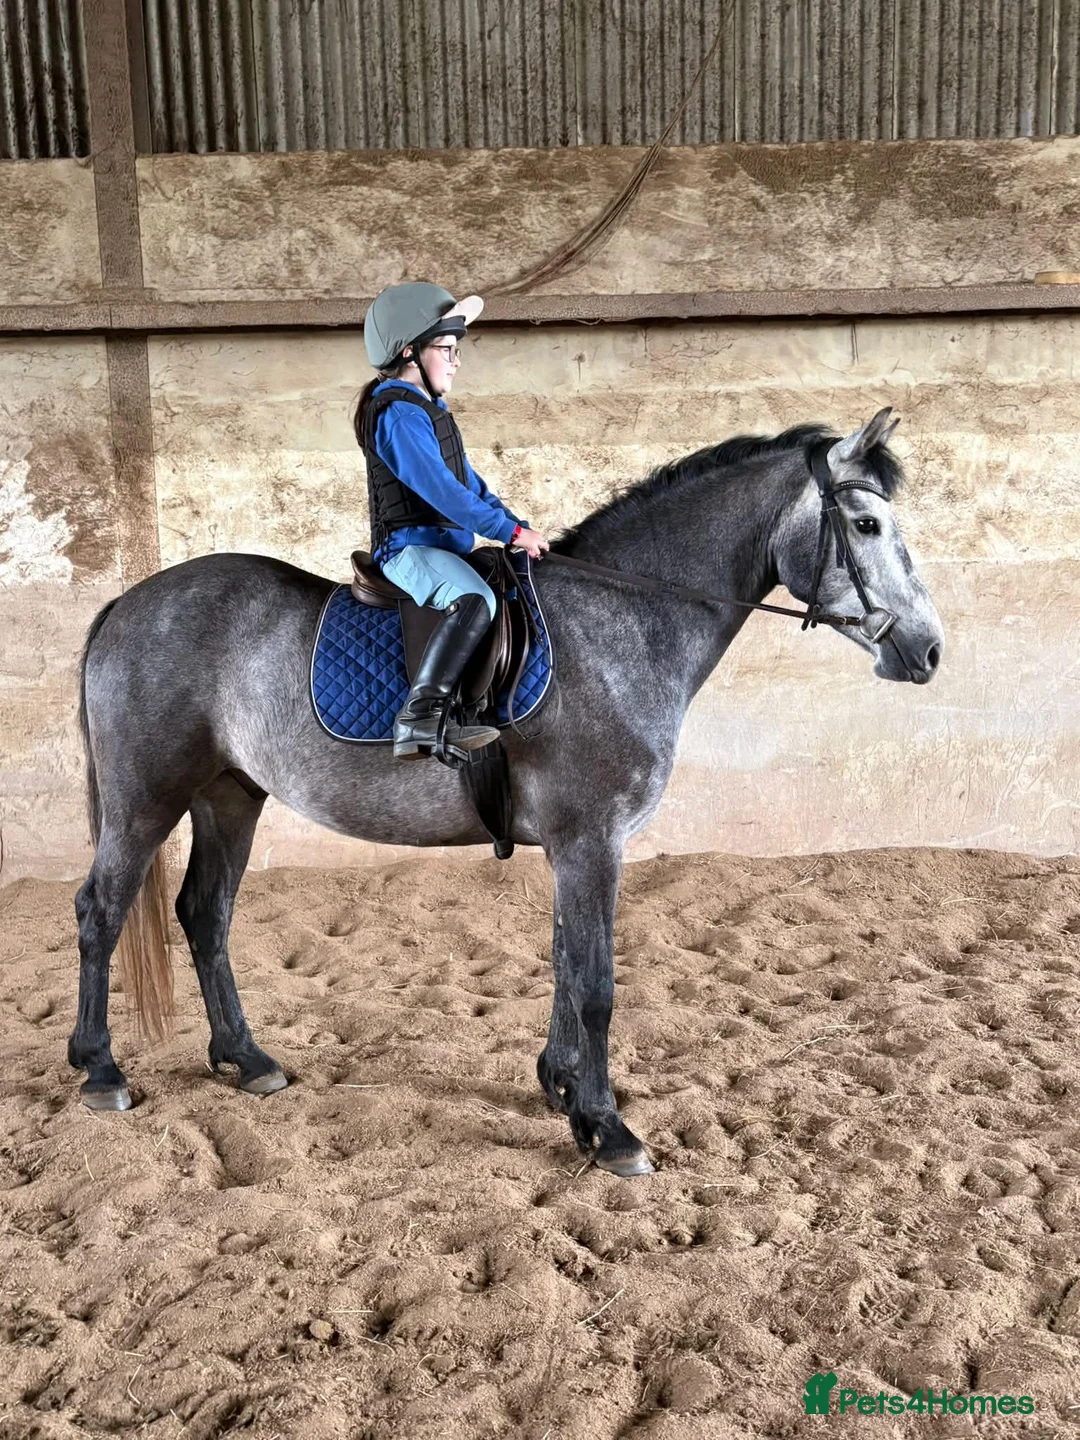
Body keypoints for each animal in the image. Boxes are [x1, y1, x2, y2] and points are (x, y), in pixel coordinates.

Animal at [69, 406, 943, 1178]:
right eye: (867, 527)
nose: (929, 651)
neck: (621, 620)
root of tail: (128, 603)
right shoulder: (591, 840)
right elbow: (595, 983)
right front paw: (607, 1129)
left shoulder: (574, 846)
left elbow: (564, 960)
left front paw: (562, 1087)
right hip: (146, 798)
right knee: (102, 912)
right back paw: (101, 1070)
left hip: (230, 795)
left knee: (204, 913)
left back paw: (246, 1058)